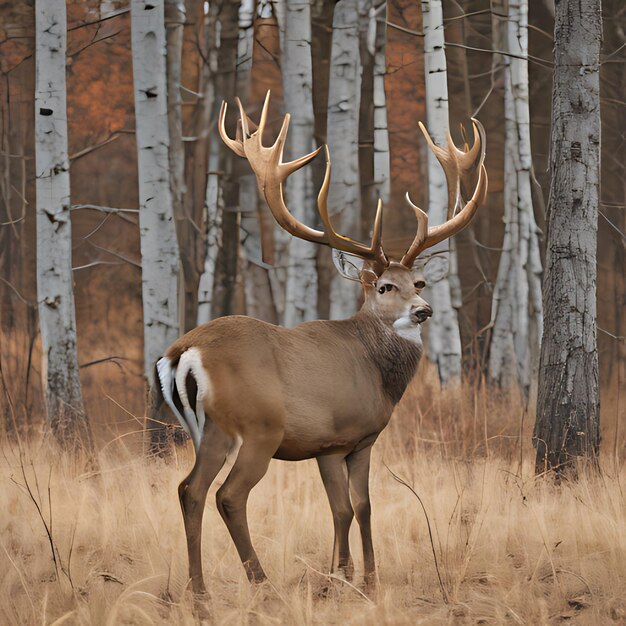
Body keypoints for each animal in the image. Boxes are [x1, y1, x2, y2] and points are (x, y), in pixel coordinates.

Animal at [151, 91, 488, 596]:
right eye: (383, 286)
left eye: (421, 282)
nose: (423, 311)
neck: (376, 372)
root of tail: (182, 353)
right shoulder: (344, 437)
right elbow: (353, 507)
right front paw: (356, 579)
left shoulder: (333, 445)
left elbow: (351, 507)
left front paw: (347, 575)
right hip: (258, 426)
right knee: (228, 495)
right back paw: (260, 582)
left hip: (210, 429)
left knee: (189, 489)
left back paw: (199, 592)